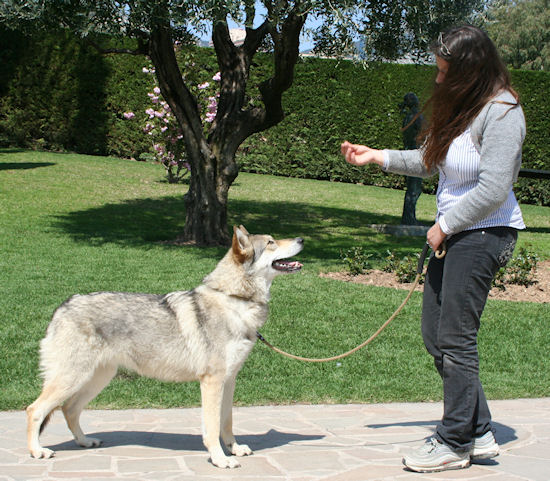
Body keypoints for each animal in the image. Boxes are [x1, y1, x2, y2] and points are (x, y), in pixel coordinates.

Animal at [27, 226, 306, 468]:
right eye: (271, 242)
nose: (302, 239)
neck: (234, 300)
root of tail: (63, 305)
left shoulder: (229, 380)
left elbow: (227, 422)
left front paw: (234, 449)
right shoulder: (212, 381)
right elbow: (212, 427)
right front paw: (220, 459)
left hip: (95, 379)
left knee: (69, 409)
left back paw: (85, 441)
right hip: (73, 379)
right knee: (35, 410)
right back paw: (37, 451)